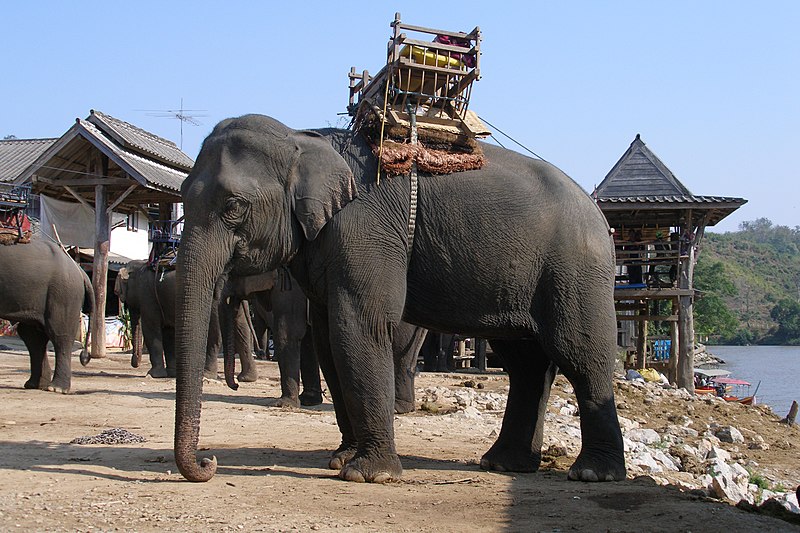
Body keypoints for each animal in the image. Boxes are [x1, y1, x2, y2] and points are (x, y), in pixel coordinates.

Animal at [0, 237, 93, 390]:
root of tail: (79, 269)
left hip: (63, 293)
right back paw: (34, 385)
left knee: (59, 334)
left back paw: (56, 388)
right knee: (32, 335)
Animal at [173, 114, 624, 484]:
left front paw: (369, 475)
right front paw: (341, 460)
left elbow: (358, 326)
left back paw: (591, 473)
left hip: (575, 269)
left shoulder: (363, 229)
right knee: (525, 363)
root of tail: (601, 218)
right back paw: (502, 464)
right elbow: (328, 339)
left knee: (579, 354)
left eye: (233, 206)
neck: (302, 137)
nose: (210, 461)